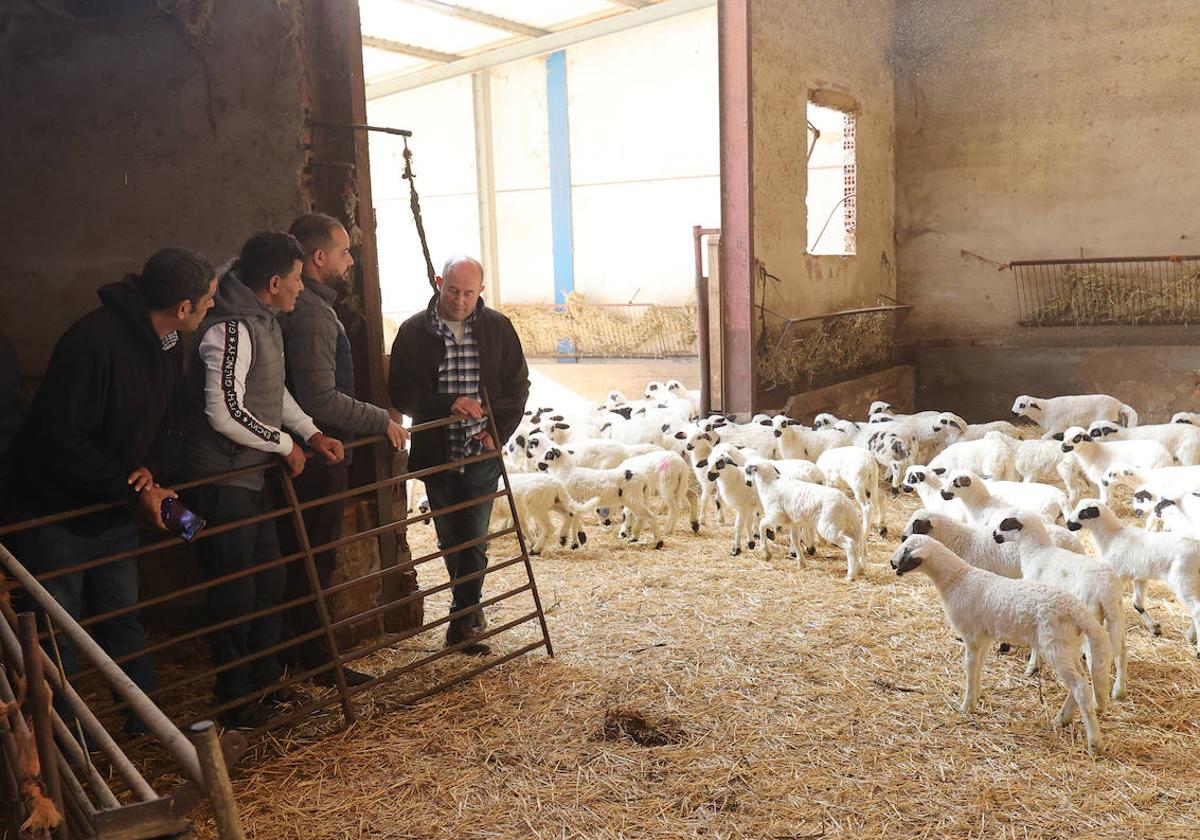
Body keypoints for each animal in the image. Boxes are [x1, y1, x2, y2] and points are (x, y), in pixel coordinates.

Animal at [888, 535, 1108, 758]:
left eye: (906, 550)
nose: (892, 563)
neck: (957, 579)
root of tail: (1076, 609)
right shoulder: (983, 639)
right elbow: (977, 670)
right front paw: (974, 701)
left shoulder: (971, 636)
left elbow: (969, 670)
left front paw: (965, 707)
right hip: (1069, 646)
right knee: (1083, 681)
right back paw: (1062, 719)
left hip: (1055, 647)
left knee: (1080, 687)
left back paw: (1095, 744)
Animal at [993, 511, 1123, 700]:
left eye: (1005, 523)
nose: (994, 535)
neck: (1036, 552)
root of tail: (1107, 588)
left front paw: (1031, 668)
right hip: (1116, 613)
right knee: (1122, 650)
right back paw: (1119, 690)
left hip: (1091, 616)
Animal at [1008, 393, 1137, 439]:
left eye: (1022, 405)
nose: (1012, 413)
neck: (1045, 410)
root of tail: (1119, 404)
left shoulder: (1057, 427)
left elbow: (1044, 438)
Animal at [1070, 494, 1200, 652]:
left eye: (1084, 513)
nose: (1068, 524)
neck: (1112, 538)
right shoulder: (1140, 577)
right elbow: (1137, 604)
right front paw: (1155, 628)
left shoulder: (1118, 575)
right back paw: (1190, 636)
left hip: (1183, 578)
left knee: (1197, 610)